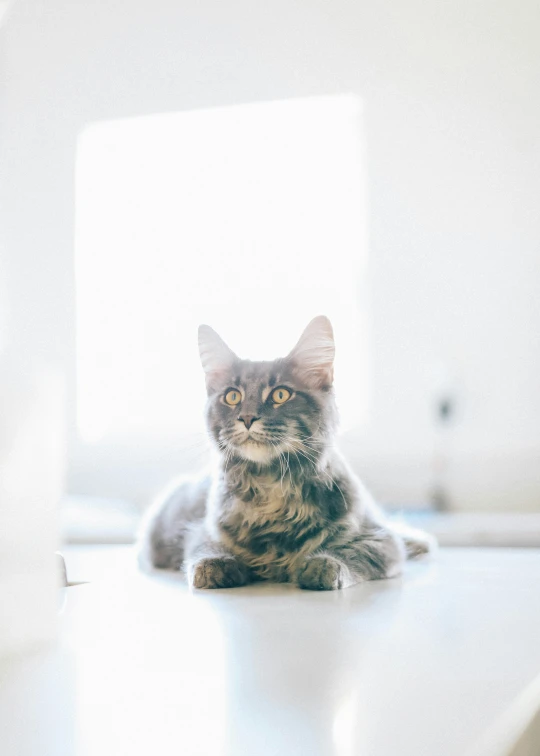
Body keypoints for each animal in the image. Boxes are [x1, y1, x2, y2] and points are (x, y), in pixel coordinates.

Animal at [139, 316, 434, 588]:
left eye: (280, 395)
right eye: (232, 396)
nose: (247, 418)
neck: (270, 484)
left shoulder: (380, 539)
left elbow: (352, 552)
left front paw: (322, 565)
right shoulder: (202, 531)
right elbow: (205, 549)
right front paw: (215, 567)